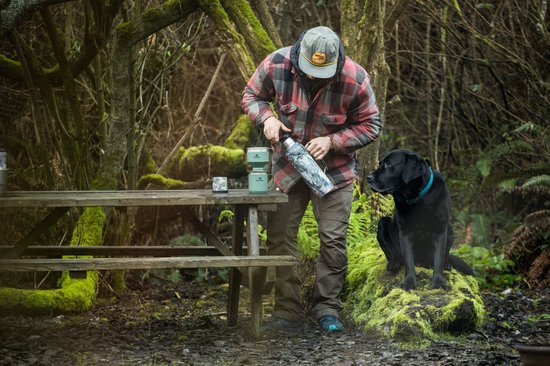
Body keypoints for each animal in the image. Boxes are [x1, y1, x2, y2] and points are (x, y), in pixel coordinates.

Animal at [366, 150, 474, 290]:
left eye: (388, 164)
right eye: (380, 163)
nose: (368, 178)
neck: (419, 198)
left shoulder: (440, 230)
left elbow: (438, 259)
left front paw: (439, 283)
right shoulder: (405, 233)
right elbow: (408, 260)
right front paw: (409, 282)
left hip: (450, 230)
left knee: (443, 257)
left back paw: (447, 265)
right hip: (382, 223)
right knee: (392, 254)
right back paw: (393, 264)